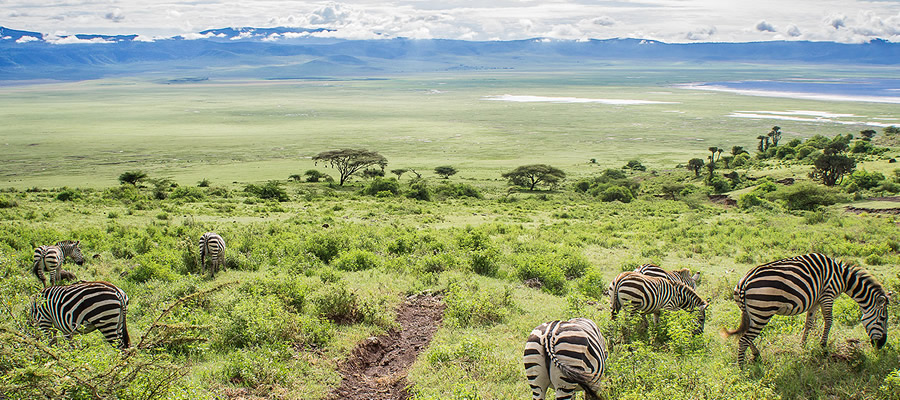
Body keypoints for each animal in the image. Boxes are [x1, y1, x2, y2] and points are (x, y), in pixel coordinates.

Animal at [720, 253, 888, 366]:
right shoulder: (828, 295)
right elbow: (829, 321)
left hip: (750, 313)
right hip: (762, 313)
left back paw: (756, 354)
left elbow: (809, 323)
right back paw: (742, 370)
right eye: (883, 319)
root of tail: (744, 282)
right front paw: (823, 346)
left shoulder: (815, 301)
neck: (843, 277)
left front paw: (803, 345)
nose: (881, 345)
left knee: (746, 336)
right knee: (744, 339)